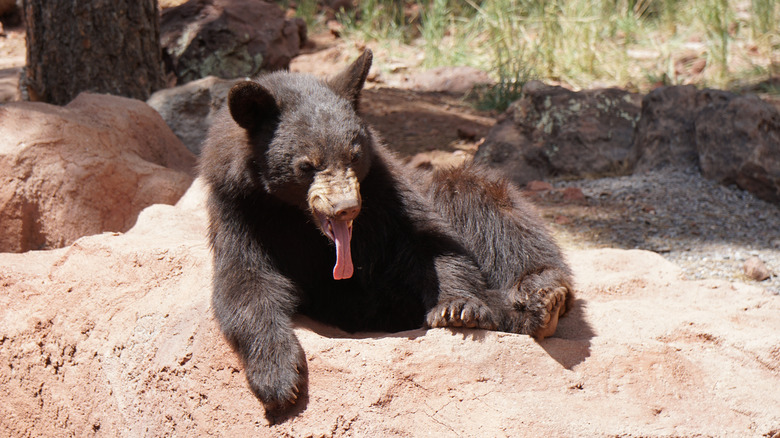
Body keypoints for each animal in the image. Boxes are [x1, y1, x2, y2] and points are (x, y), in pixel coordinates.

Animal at [198, 49, 576, 416]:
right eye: (306, 165)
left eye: (354, 155)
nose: (346, 208)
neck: (292, 215)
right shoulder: (240, 213)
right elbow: (245, 282)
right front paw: (278, 380)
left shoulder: (383, 190)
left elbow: (427, 243)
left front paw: (458, 307)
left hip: (460, 195)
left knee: (490, 211)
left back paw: (543, 298)